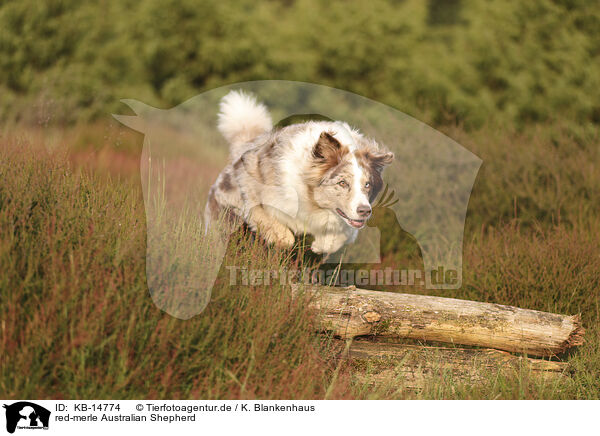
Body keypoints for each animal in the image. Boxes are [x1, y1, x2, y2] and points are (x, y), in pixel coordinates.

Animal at [204, 91, 396, 255]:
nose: (365, 211)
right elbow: (281, 233)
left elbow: (337, 237)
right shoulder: (253, 192)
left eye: (367, 184)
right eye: (342, 183)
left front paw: (320, 245)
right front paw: (282, 240)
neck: (313, 201)